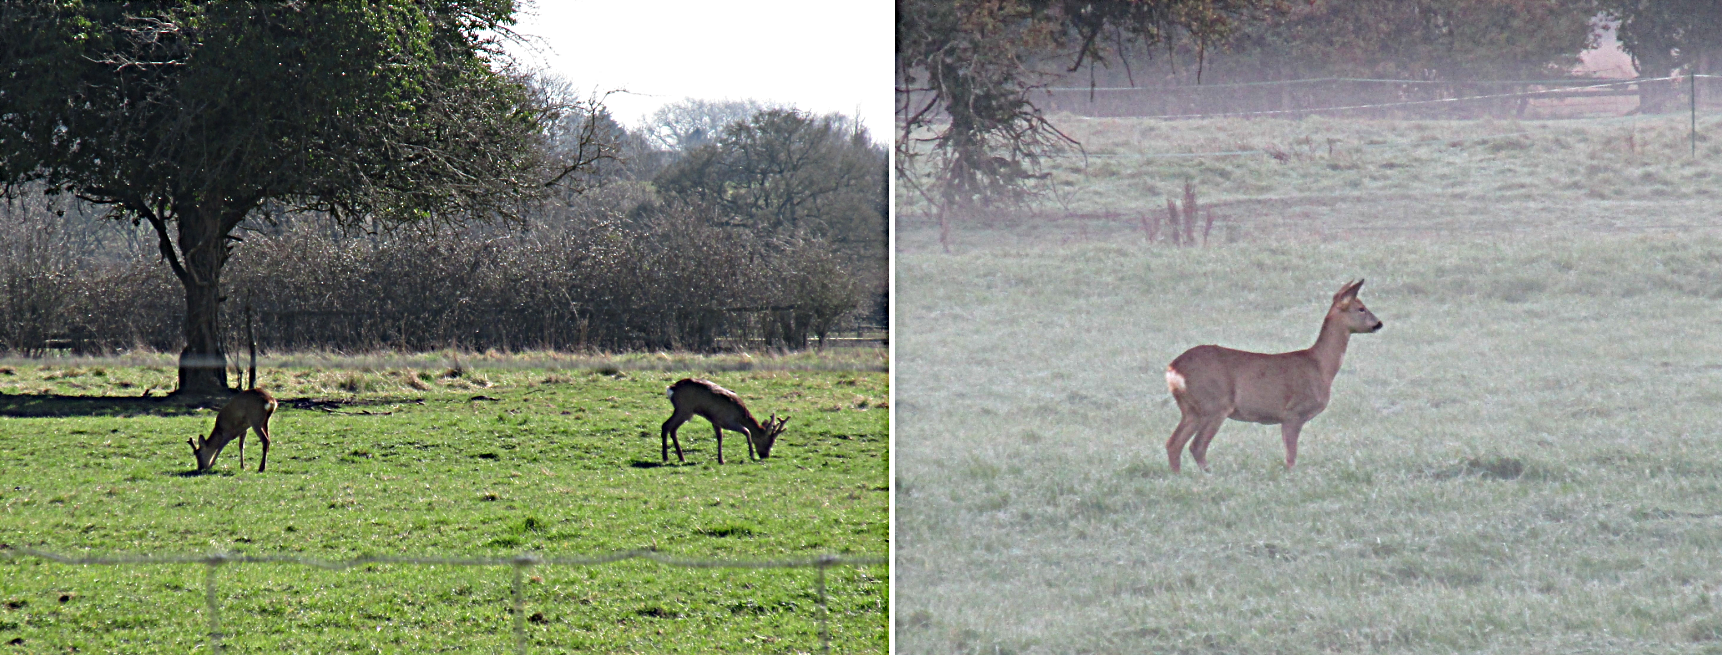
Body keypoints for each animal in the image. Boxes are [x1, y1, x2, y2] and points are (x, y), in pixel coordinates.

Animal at [188, 300, 277, 472]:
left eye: (198, 454)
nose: (200, 467)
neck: (219, 429)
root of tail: (270, 401)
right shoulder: (244, 428)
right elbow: (241, 445)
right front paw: (242, 465)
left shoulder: (228, 431)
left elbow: (221, 447)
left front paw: (211, 465)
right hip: (265, 420)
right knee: (269, 440)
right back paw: (263, 466)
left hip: (255, 419)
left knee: (266, 441)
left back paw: (261, 467)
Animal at [1164, 279, 1382, 473]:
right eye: (1361, 308)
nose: (1378, 323)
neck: (1320, 366)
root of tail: (1174, 368)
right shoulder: (1294, 412)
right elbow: (1291, 457)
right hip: (1215, 403)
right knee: (1197, 446)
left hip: (1191, 408)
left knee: (1173, 443)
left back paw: (1178, 476)